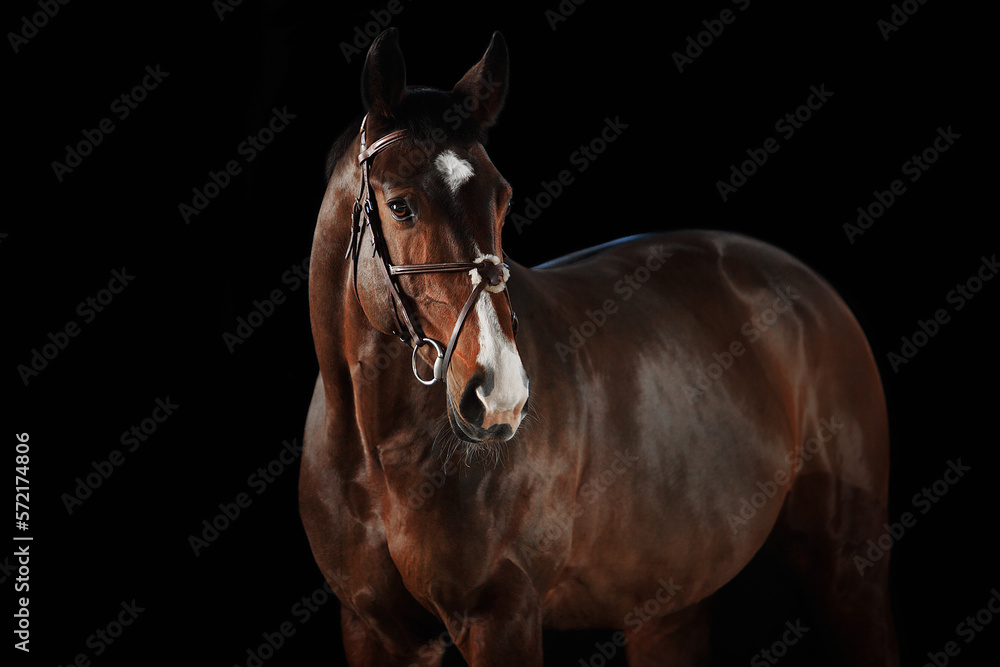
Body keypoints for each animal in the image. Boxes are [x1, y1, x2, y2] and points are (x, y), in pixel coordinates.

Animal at [299, 28, 898, 666]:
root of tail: (807, 289)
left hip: (849, 567)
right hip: (670, 606)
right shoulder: (374, 628)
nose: (501, 395)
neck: (375, 448)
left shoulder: (502, 616)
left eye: (503, 199)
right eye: (401, 206)